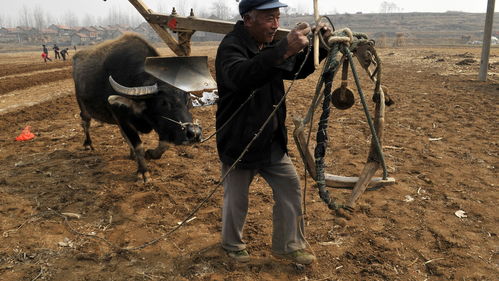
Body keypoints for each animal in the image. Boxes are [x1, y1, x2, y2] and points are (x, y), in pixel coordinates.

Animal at [73, 32, 201, 182]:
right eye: (163, 102)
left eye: (187, 100)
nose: (194, 133)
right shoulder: (122, 119)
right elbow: (138, 145)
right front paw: (143, 171)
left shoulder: (163, 126)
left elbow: (164, 144)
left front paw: (150, 154)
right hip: (82, 105)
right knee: (85, 123)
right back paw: (88, 144)